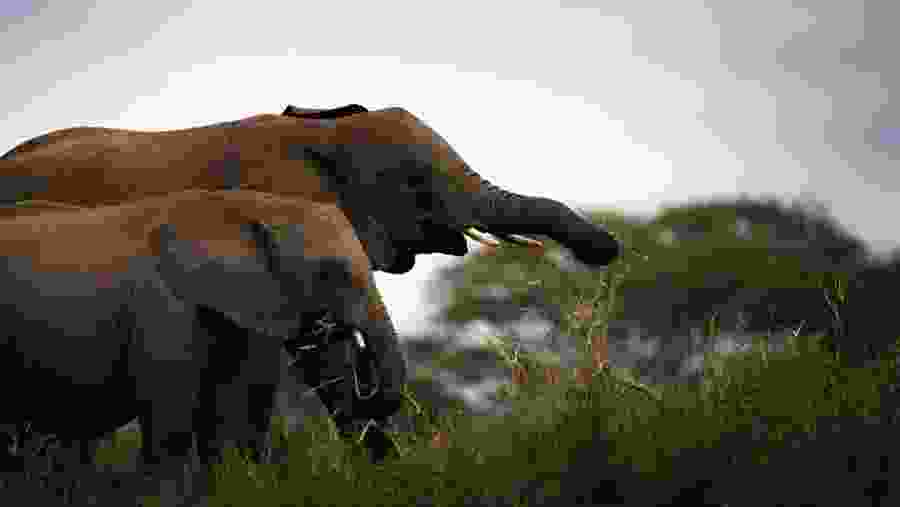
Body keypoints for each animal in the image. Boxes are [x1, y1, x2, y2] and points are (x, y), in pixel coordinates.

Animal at [0, 189, 405, 505]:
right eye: (331, 272)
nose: (362, 359)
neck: (251, 205)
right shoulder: (163, 312)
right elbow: (171, 429)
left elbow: (224, 421)